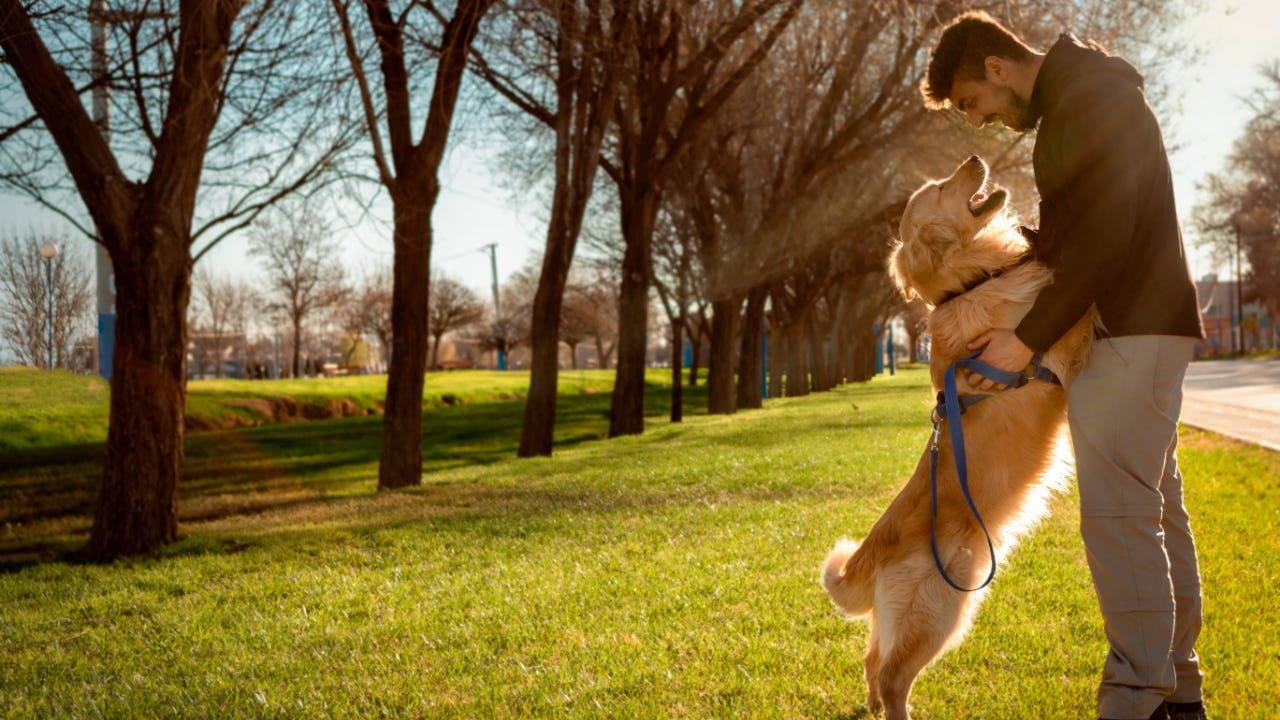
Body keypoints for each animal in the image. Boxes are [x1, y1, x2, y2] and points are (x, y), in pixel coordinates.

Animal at [824, 154, 1095, 712]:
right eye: (942, 188)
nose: (973, 159)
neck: (970, 284)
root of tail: (870, 553)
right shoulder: (1056, 338)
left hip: (908, 615)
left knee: (871, 658)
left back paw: (870, 706)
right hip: (941, 605)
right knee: (892, 675)